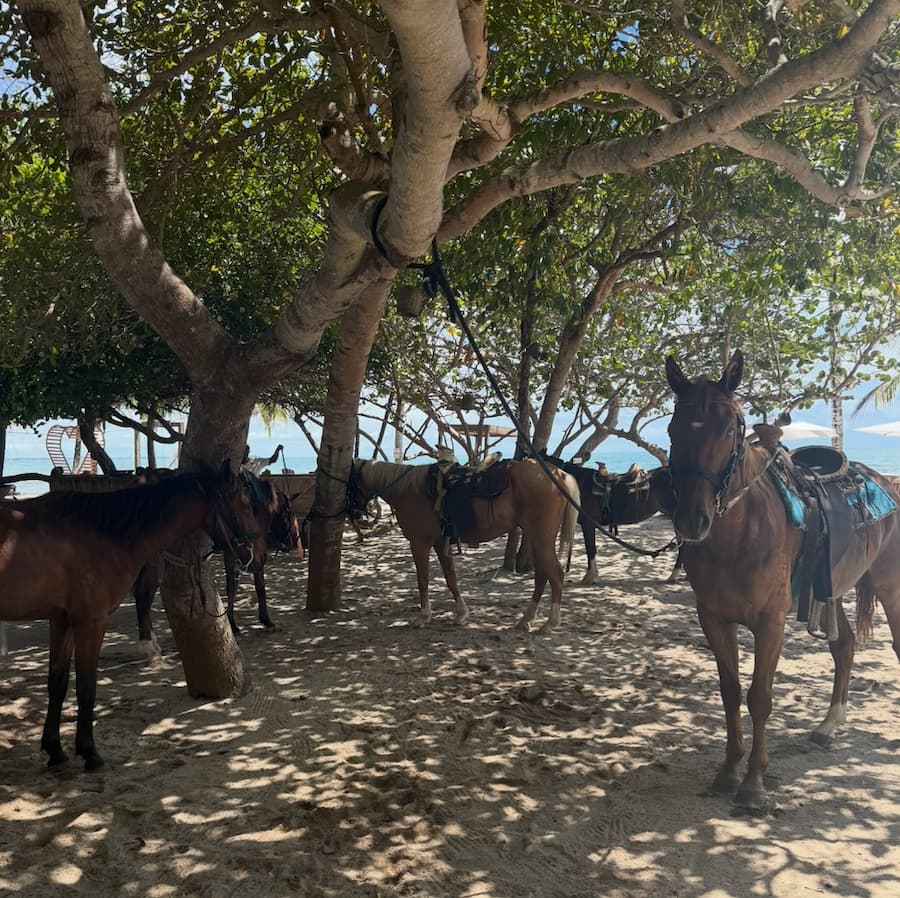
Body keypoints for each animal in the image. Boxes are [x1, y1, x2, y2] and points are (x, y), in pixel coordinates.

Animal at [0, 461, 259, 771]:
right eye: (245, 504)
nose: (255, 555)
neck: (102, 534)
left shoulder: (62, 620)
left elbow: (57, 683)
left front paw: (55, 750)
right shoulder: (91, 621)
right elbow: (86, 687)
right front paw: (89, 752)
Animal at [134, 471, 302, 652]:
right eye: (289, 514)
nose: (291, 542)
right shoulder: (235, 553)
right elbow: (244, 586)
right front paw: (248, 623)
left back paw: (151, 643)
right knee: (144, 592)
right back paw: (149, 646)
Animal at [348, 458, 580, 631]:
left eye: (348, 481)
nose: (354, 513)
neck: (410, 491)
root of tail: (558, 475)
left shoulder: (419, 543)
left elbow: (423, 580)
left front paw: (423, 616)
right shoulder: (440, 543)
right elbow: (451, 578)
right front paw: (461, 614)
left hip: (541, 538)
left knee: (556, 575)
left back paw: (550, 623)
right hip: (535, 538)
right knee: (542, 575)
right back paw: (526, 619)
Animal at [665, 349, 900, 809]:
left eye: (729, 429)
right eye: (673, 429)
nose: (691, 520)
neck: (742, 529)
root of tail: (884, 483)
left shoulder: (769, 623)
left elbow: (759, 697)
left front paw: (754, 784)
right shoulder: (713, 618)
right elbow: (731, 691)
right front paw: (728, 771)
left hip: (890, 585)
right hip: (832, 589)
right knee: (844, 645)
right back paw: (829, 725)